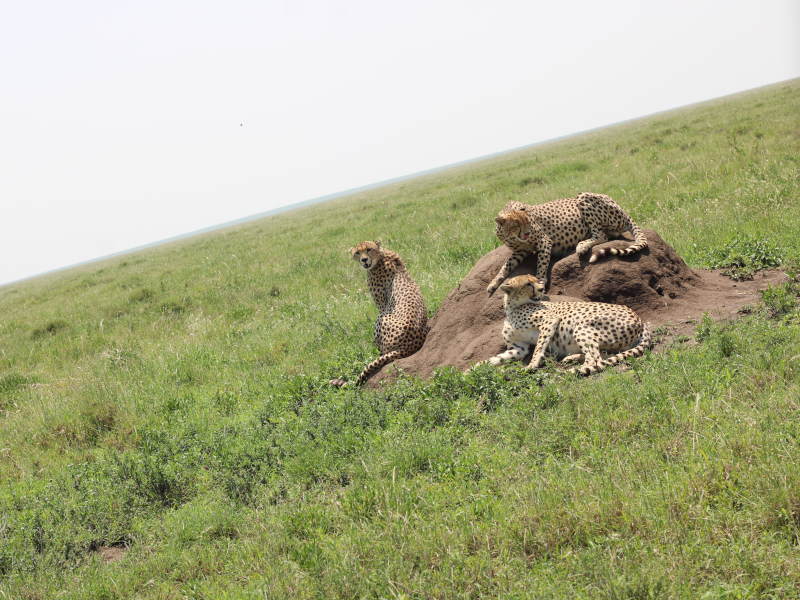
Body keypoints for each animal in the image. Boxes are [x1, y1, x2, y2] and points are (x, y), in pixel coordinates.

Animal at [328, 240, 428, 386]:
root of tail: (407, 346)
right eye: (357, 252)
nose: (364, 260)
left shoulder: (382, 306)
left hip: (382, 318)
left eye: (369, 249)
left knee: (382, 351)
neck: (381, 256)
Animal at [476, 274, 648, 376]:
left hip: (581, 326)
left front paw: (531, 366)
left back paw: (576, 369)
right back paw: (572, 358)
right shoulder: (519, 348)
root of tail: (639, 319)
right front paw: (476, 368)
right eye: (528, 284)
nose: (542, 288)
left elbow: (538, 347)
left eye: (536, 280)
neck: (513, 308)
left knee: (596, 359)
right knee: (603, 354)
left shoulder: (550, 320)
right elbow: (497, 358)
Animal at [484, 192, 648, 296]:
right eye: (516, 225)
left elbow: (541, 265)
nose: (527, 234)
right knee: (607, 234)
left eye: (528, 222)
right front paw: (493, 284)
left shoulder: (544, 241)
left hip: (584, 197)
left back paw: (582, 246)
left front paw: (540, 282)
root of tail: (621, 208)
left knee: (602, 235)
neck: (512, 237)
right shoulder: (520, 251)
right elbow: (505, 266)